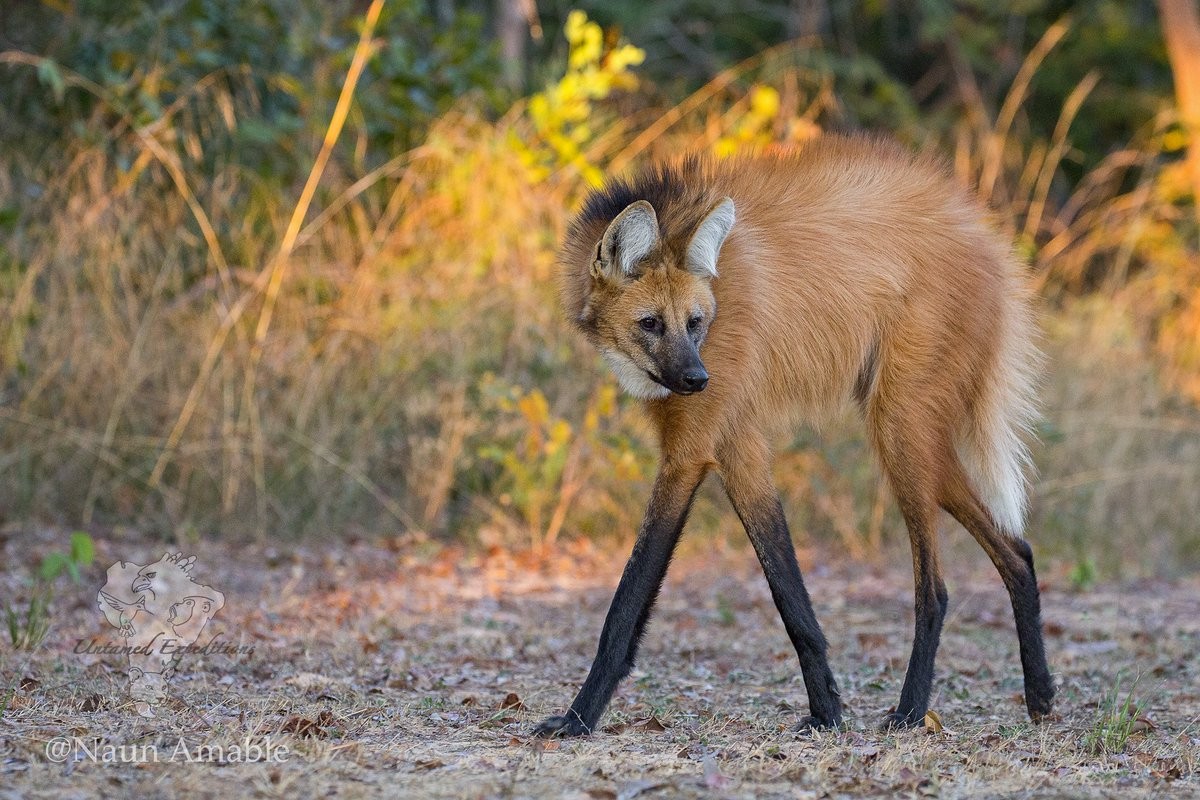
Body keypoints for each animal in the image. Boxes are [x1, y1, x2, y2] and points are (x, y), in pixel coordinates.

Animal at [535, 136, 1051, 738]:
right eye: (650, 323)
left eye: (693, 322)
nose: (697, 379)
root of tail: (990, 238)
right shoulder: (736, 447)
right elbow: (789, 591)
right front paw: (827, 712)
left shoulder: (691, 451)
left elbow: (627, 600)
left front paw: (576, 719)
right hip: (917, 441)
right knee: (1018, 552)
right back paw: (1041, 696)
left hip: (899, 430)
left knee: (936, 591)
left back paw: (909, 712)